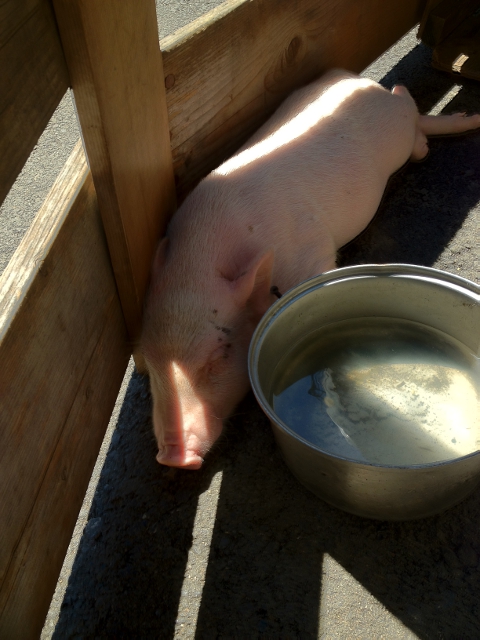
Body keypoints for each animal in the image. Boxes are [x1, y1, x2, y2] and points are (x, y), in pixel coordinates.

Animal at [140, 69, 480, 470]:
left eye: (218, 354)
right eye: (147, 365)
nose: (173, 457)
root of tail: (359, 82)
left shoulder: (312, 250)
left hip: (397, 127)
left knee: (408, 105)